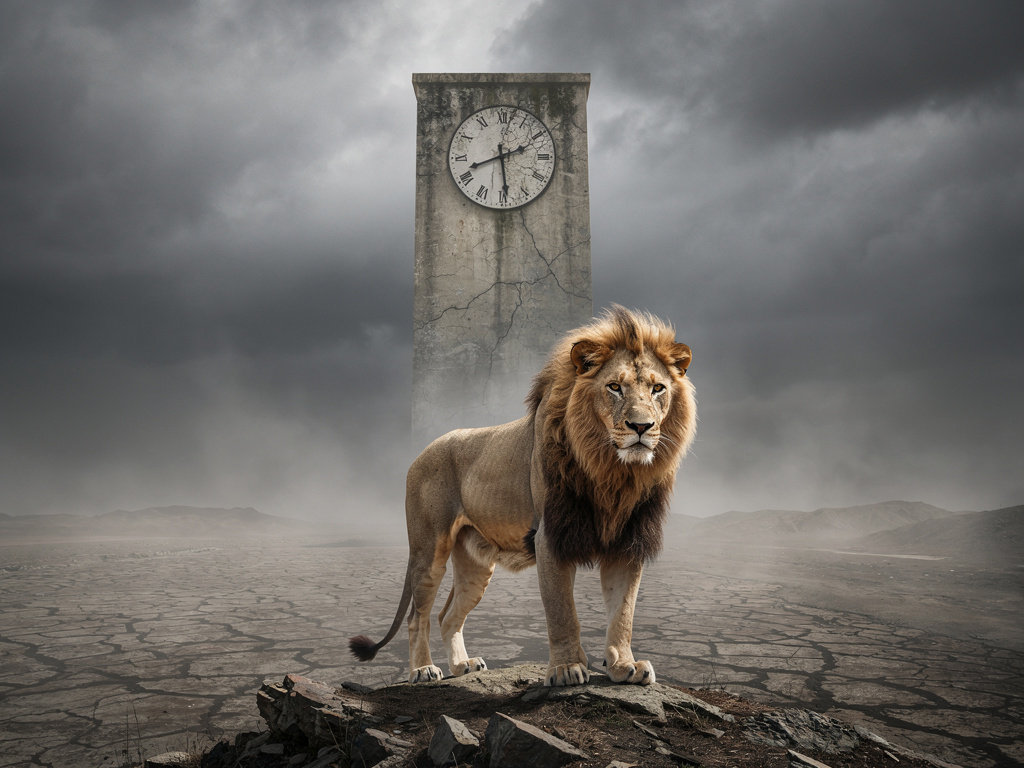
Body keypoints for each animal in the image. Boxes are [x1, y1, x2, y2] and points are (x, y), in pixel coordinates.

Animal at [349, 305, 696, 687]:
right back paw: (422, 670)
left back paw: (463, 665)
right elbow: (562, 612)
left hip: (475, 563)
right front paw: (566, 669)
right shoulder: (551, 536)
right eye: (614, 387)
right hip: (429, 550)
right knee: (418, 615)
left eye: (658, 388)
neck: (613, 472)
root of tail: (420, 453)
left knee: (447, 615)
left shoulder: (627, 542)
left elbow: (623, 614)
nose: (641, 427)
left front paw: (624, 666)